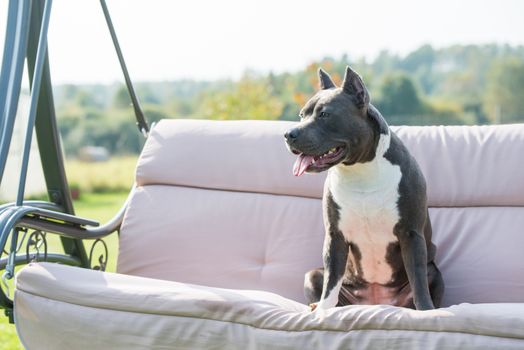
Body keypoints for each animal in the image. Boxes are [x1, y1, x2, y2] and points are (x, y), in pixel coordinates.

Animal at [284, 67, 444, 310]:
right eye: (302, 114)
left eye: (324, 114)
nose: (288, 134)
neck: (360, 171)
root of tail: (375, 303)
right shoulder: (335, 236)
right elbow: (331, 282)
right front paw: (323, 311)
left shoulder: (411, 234)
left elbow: (418, 281)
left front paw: (426, 312)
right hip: (312, 275)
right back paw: (315, 306)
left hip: (434, 271)